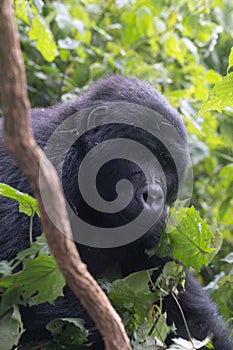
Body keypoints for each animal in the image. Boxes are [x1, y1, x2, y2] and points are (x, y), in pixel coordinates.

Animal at [0, 75, 232, 348]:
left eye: (166, 165)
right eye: (141, 151)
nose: (154, 196)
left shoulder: (157, 233)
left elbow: (191, 319)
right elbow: (23, 282)